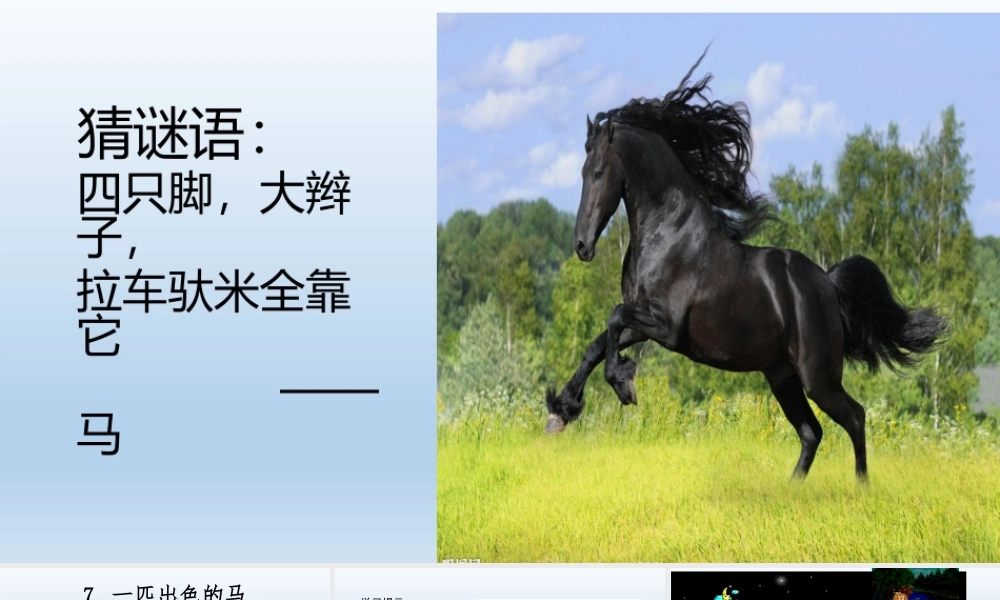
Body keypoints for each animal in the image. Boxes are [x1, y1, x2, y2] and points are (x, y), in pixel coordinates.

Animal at [543, 50, 946, 482]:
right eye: (582, 173)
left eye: (598, 173)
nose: (581, 245)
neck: (668, 235)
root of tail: (827, 283)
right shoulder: (645, 324)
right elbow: (598, 343)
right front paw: (561, 411)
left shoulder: (666, 326)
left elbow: (614, 320)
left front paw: (624, 385)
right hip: (783, 377)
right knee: (812, 432)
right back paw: (791, 489)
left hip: (818, 377)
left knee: (854, 417)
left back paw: (861, 487)